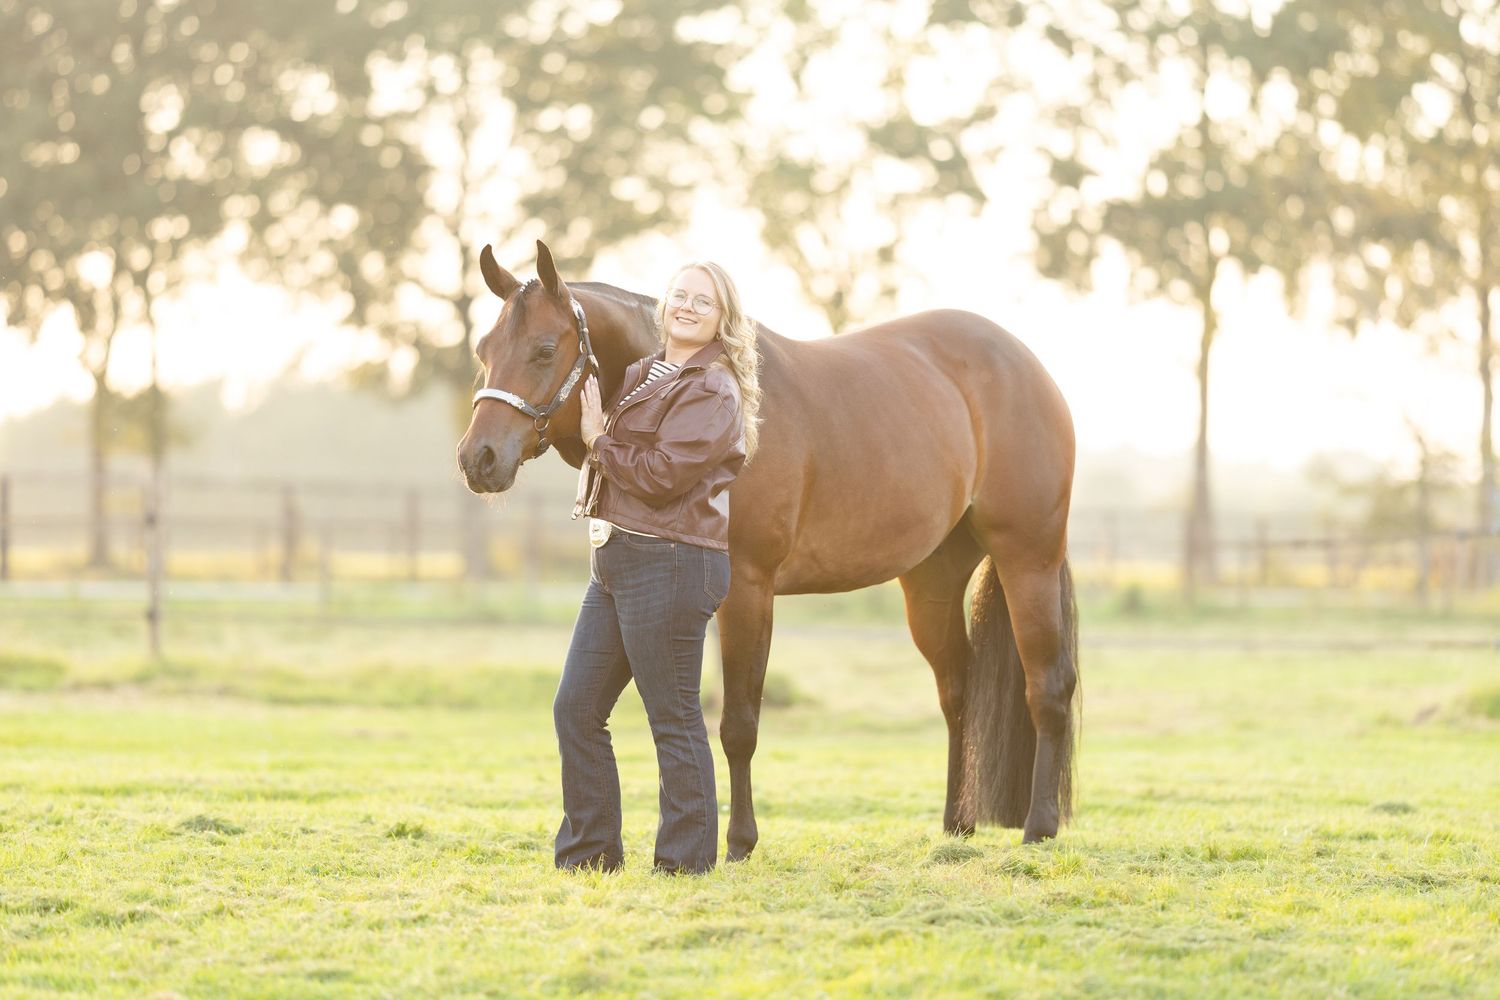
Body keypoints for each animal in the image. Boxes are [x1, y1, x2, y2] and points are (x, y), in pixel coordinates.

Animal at [458, 240, 1079, 857]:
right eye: (484, 350)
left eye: (544, 349)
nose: (477, 459)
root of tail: (1028, 366)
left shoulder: (749, 590)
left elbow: (738, 724)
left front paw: (738, 842)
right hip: (933, 581)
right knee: (958, 693)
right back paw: (957, 825)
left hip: (1028, 559)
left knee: (1048, 686)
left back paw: (1040, 826)